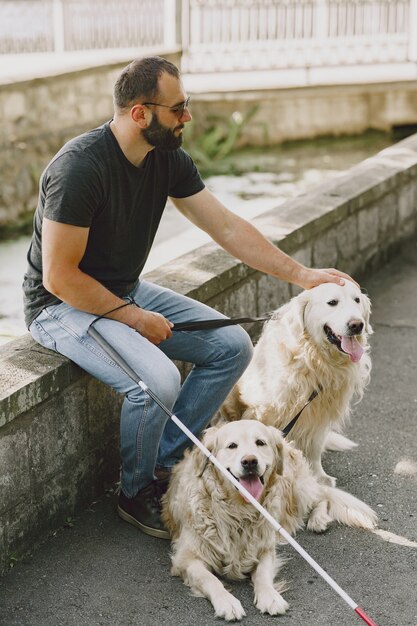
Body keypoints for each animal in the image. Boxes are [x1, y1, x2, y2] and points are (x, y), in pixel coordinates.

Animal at [161, 420, 376, 620]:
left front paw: (270, 597)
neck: (238, 511)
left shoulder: (264, 548)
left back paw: (318, 519)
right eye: (232, 446)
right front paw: (227, 602)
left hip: (297, 488)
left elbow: (263, 575)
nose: (249, 461)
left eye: (260, 442)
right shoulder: (186, 558)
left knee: (322, 494)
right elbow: (210, 579)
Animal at [221, 280, 370, 486]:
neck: (314, 360)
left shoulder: (319, 414)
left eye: (357, 300)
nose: (357, 325)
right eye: (332, 302)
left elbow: (315, 448)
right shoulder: (263, 410)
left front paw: (319, 476)